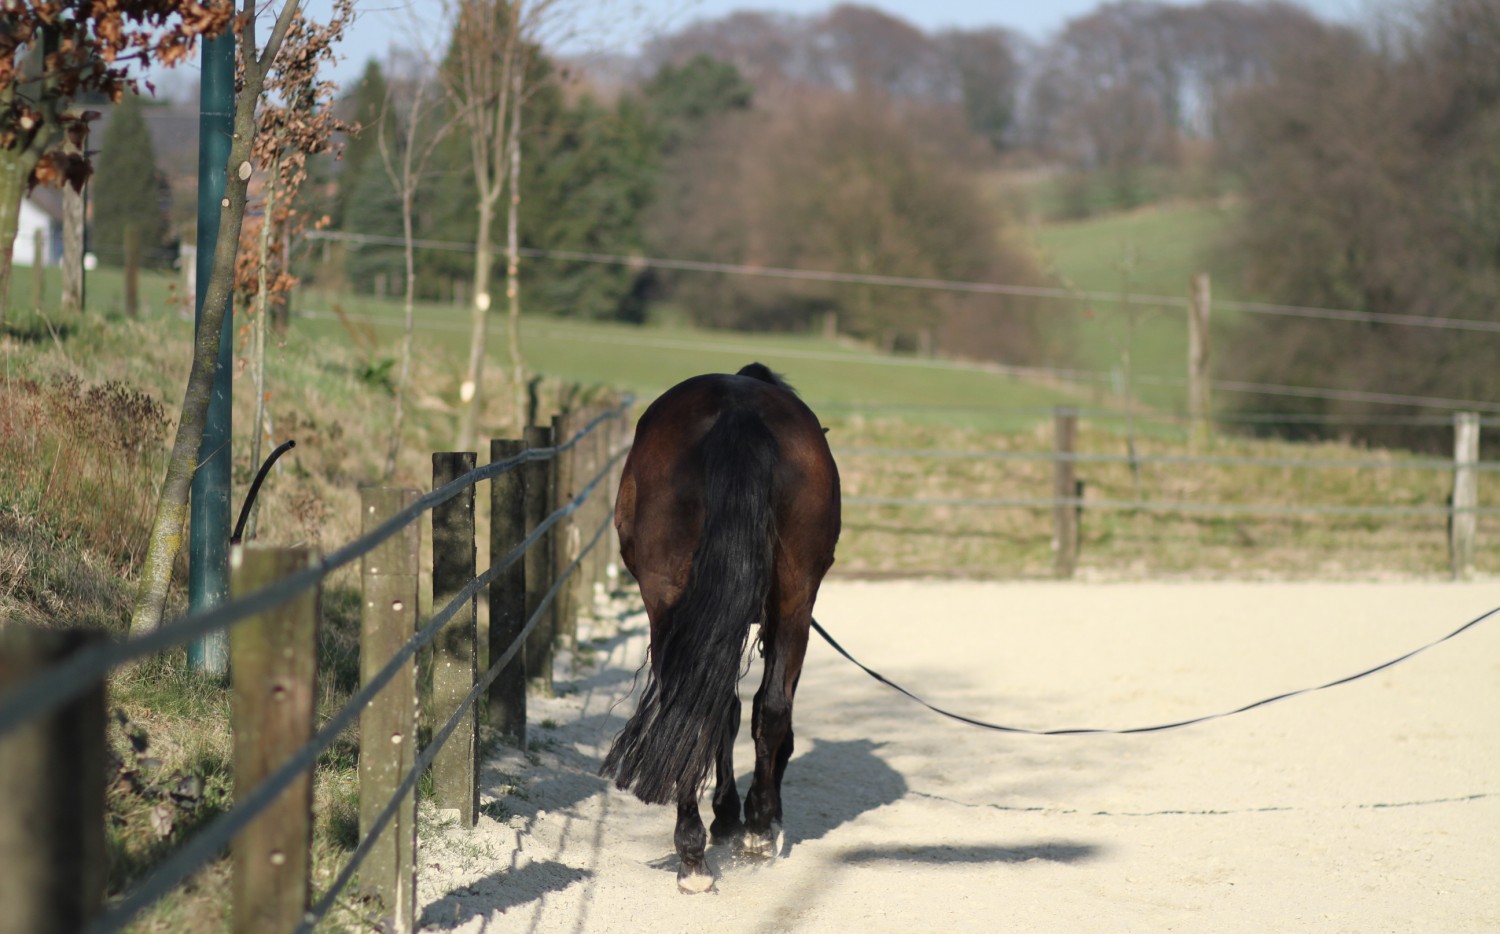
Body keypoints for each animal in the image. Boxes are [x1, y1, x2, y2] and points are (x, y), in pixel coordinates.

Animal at [606, 361, 846, 893]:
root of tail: (739, 409)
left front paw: (730, 815)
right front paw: (746, 815)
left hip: (672, 603)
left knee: (698, 707)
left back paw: (698, 853)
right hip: (794, 600)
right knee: (767, 708)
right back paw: (749, 833)